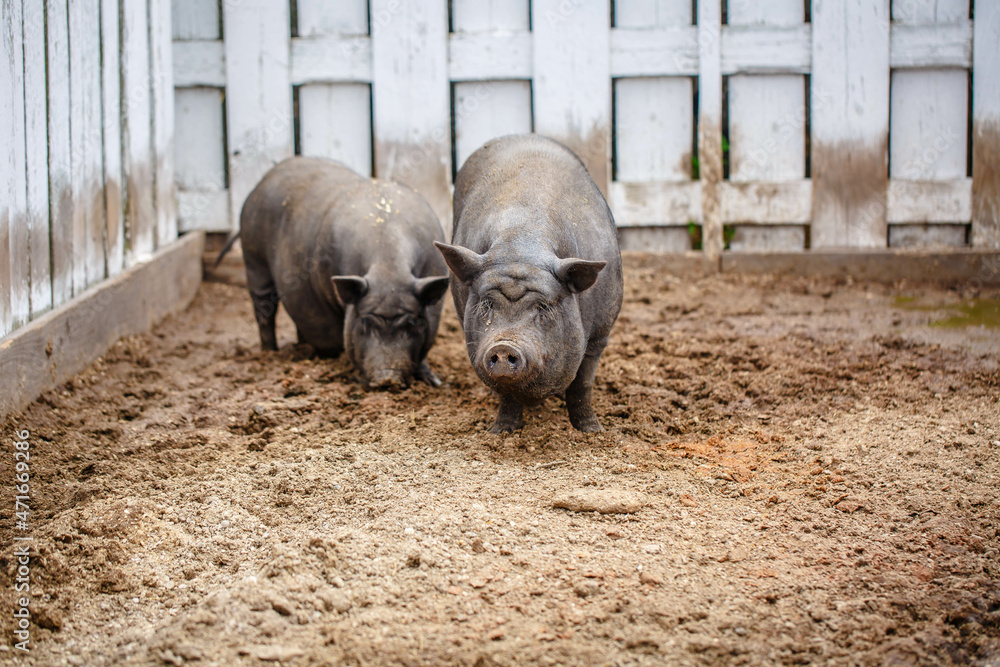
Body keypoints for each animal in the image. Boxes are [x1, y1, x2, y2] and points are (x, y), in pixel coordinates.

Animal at [219, 157, 450, 390]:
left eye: (412, 323)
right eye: (365, 323)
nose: (387, 378)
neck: (388, 269)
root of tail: (262, 182)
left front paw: (436, 382)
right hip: (254, 260)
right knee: (264, 310)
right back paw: (270, 353)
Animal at [435, 135, 623, 433]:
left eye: (543, 307)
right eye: (486, 304)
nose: (504, 346)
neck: (521, 244)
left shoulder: (600, 335)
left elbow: (582, 385)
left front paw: (592, 431)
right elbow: (507, 394)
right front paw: (500, 432)